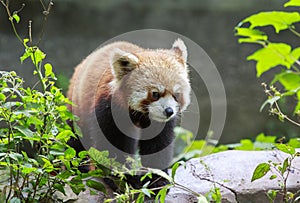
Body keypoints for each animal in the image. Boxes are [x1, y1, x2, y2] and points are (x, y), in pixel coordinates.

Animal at [67, 38, 191, 189]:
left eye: (176, 94)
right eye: (155, 94)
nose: (169, 111)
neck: (140, 114)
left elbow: (158, 144)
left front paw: (158, 179)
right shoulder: (108, 109)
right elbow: (112, 144)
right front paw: (121, 179)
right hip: (76, 107)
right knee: (76, 137)